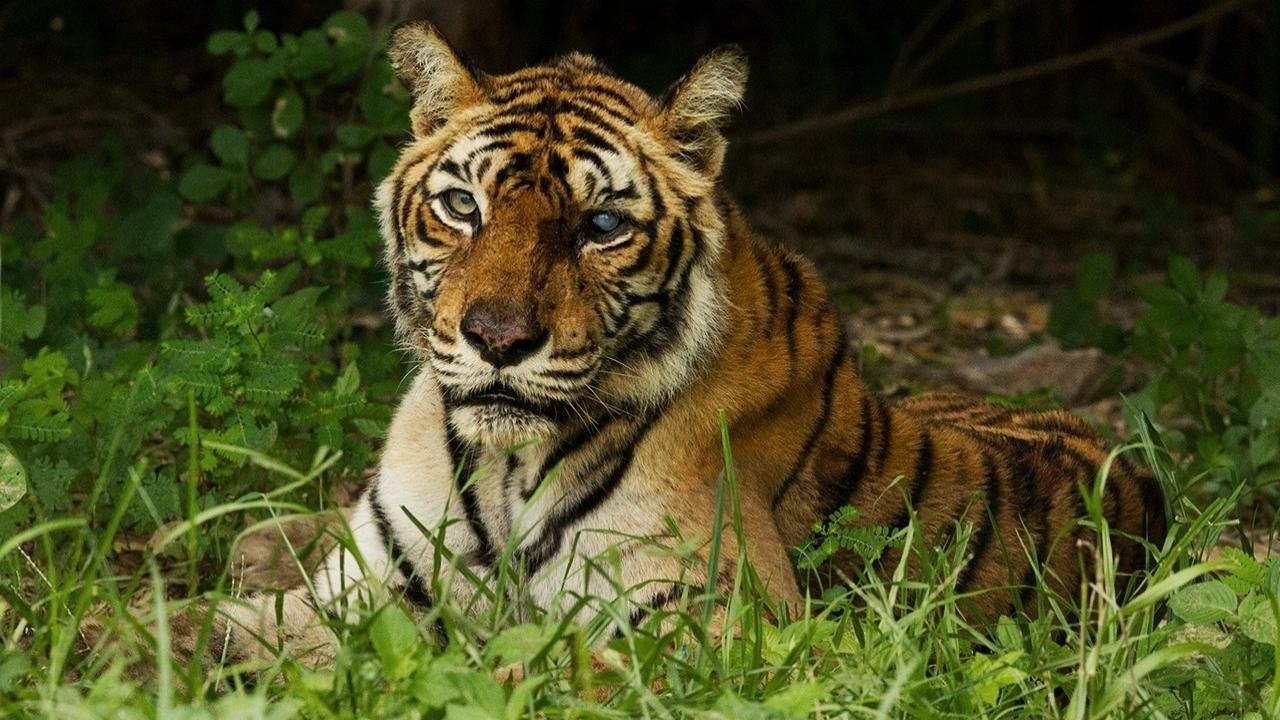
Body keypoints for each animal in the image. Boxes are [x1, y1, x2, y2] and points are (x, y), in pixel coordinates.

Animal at [186, 21, 1167, 667]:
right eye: (464, 205)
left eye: (602, 226)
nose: (497, 339)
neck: (505, 467)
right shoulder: (377, 585)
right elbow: (215, 625)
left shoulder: (716, 615)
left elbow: (528, 662)